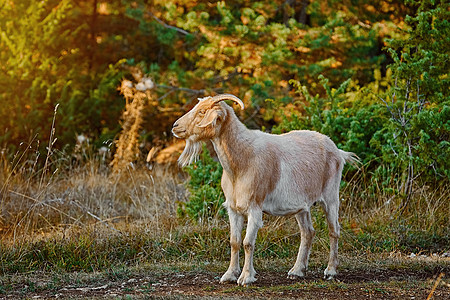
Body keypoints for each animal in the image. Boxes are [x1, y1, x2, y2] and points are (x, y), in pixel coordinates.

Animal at [171, 94, 358, 286]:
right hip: (302, 206)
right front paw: (229, 275)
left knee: (334, 230)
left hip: (331, 196)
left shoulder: (255, 207)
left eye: (202, 111)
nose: (175, 127)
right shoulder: (233, 208)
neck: (240, 163)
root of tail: (338, 151)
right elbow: (234, 242)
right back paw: (297, 271)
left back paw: (330, 271)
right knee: (308, 232)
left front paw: (246, 277)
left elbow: (248, 243)